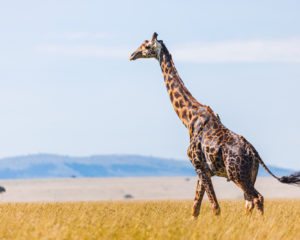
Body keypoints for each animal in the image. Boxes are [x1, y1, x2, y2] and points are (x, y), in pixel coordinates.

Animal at [130, 32, 300, 217]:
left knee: (257, 198)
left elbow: (215, 206)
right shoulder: (203, 170)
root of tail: (253, 153)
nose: (132, 55)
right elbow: (195, 208)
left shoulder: (199, 166)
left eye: (146, 46)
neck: (188, 118)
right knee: (249, 201)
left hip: (237, 175)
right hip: (249, 175)